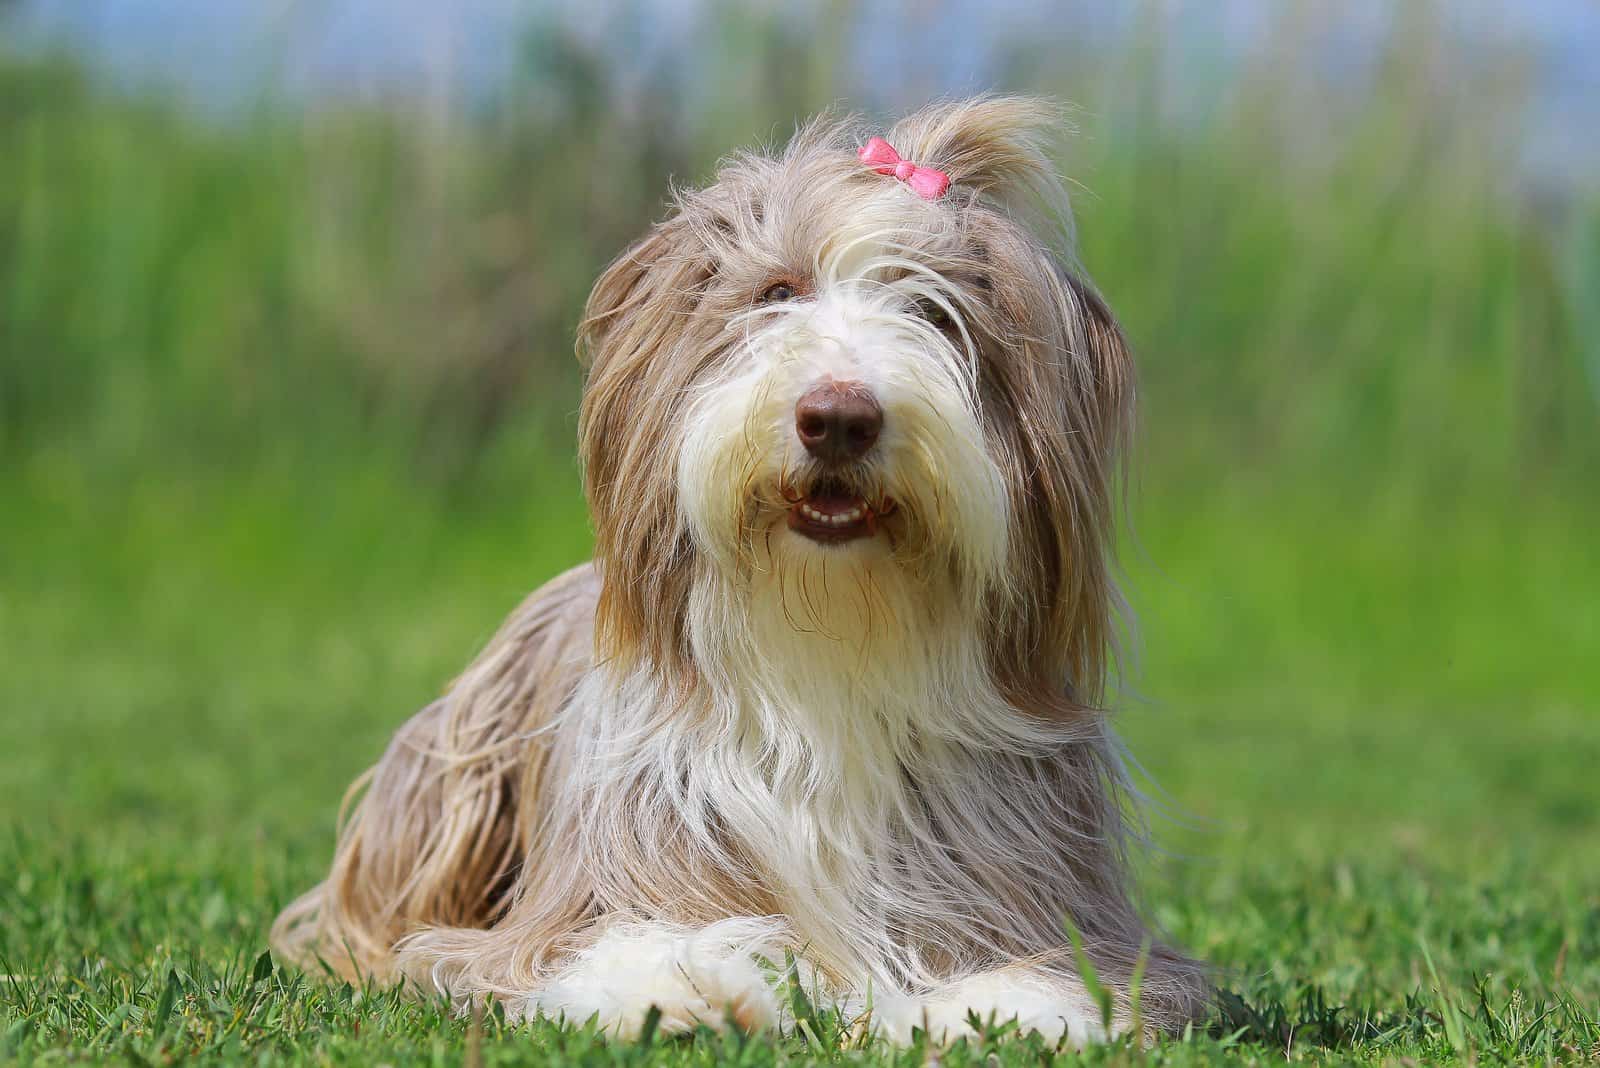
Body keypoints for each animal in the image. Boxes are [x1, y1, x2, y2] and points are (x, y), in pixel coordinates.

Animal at [272, 95, 1203, 1048]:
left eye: (937, 314)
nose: (838, 419)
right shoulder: (610, 866)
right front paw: (681, 987)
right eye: (777, 294)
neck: (831, 654)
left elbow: (1058, 971)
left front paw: (995, 1008)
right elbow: (615, 935)